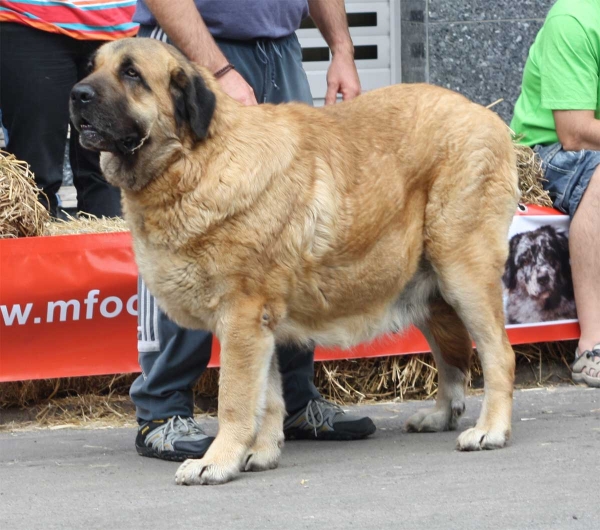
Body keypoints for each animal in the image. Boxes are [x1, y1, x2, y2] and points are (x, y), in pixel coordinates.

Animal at [70, 37, 520, 482]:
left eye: (131, 73)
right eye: (91, 67)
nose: (77, 94)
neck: (196, 161)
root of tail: (487, 115)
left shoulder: (242, 319)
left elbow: (235, 399)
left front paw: (217, 461)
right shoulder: (261, 324)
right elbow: (267, 397)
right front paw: (260, 453)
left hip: (462, 272)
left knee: (498, 352)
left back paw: (490, 429)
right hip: (426, 286)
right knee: (450, 355)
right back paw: (442, 415)